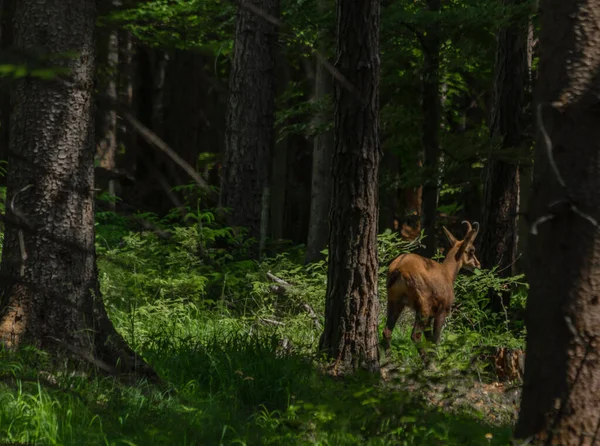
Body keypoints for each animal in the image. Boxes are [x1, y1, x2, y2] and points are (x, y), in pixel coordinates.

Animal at [382, 221, 480, 360]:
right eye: (471, 250)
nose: (477, 264)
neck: (448, 273)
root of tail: (398, 269)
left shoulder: (431, 315)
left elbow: (429, 339)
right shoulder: (442, 309)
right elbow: (435, 340)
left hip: (394, 300)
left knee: (387, 331)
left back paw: (390, 359)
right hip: (423, 305)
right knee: (415, 335)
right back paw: (427, 362)